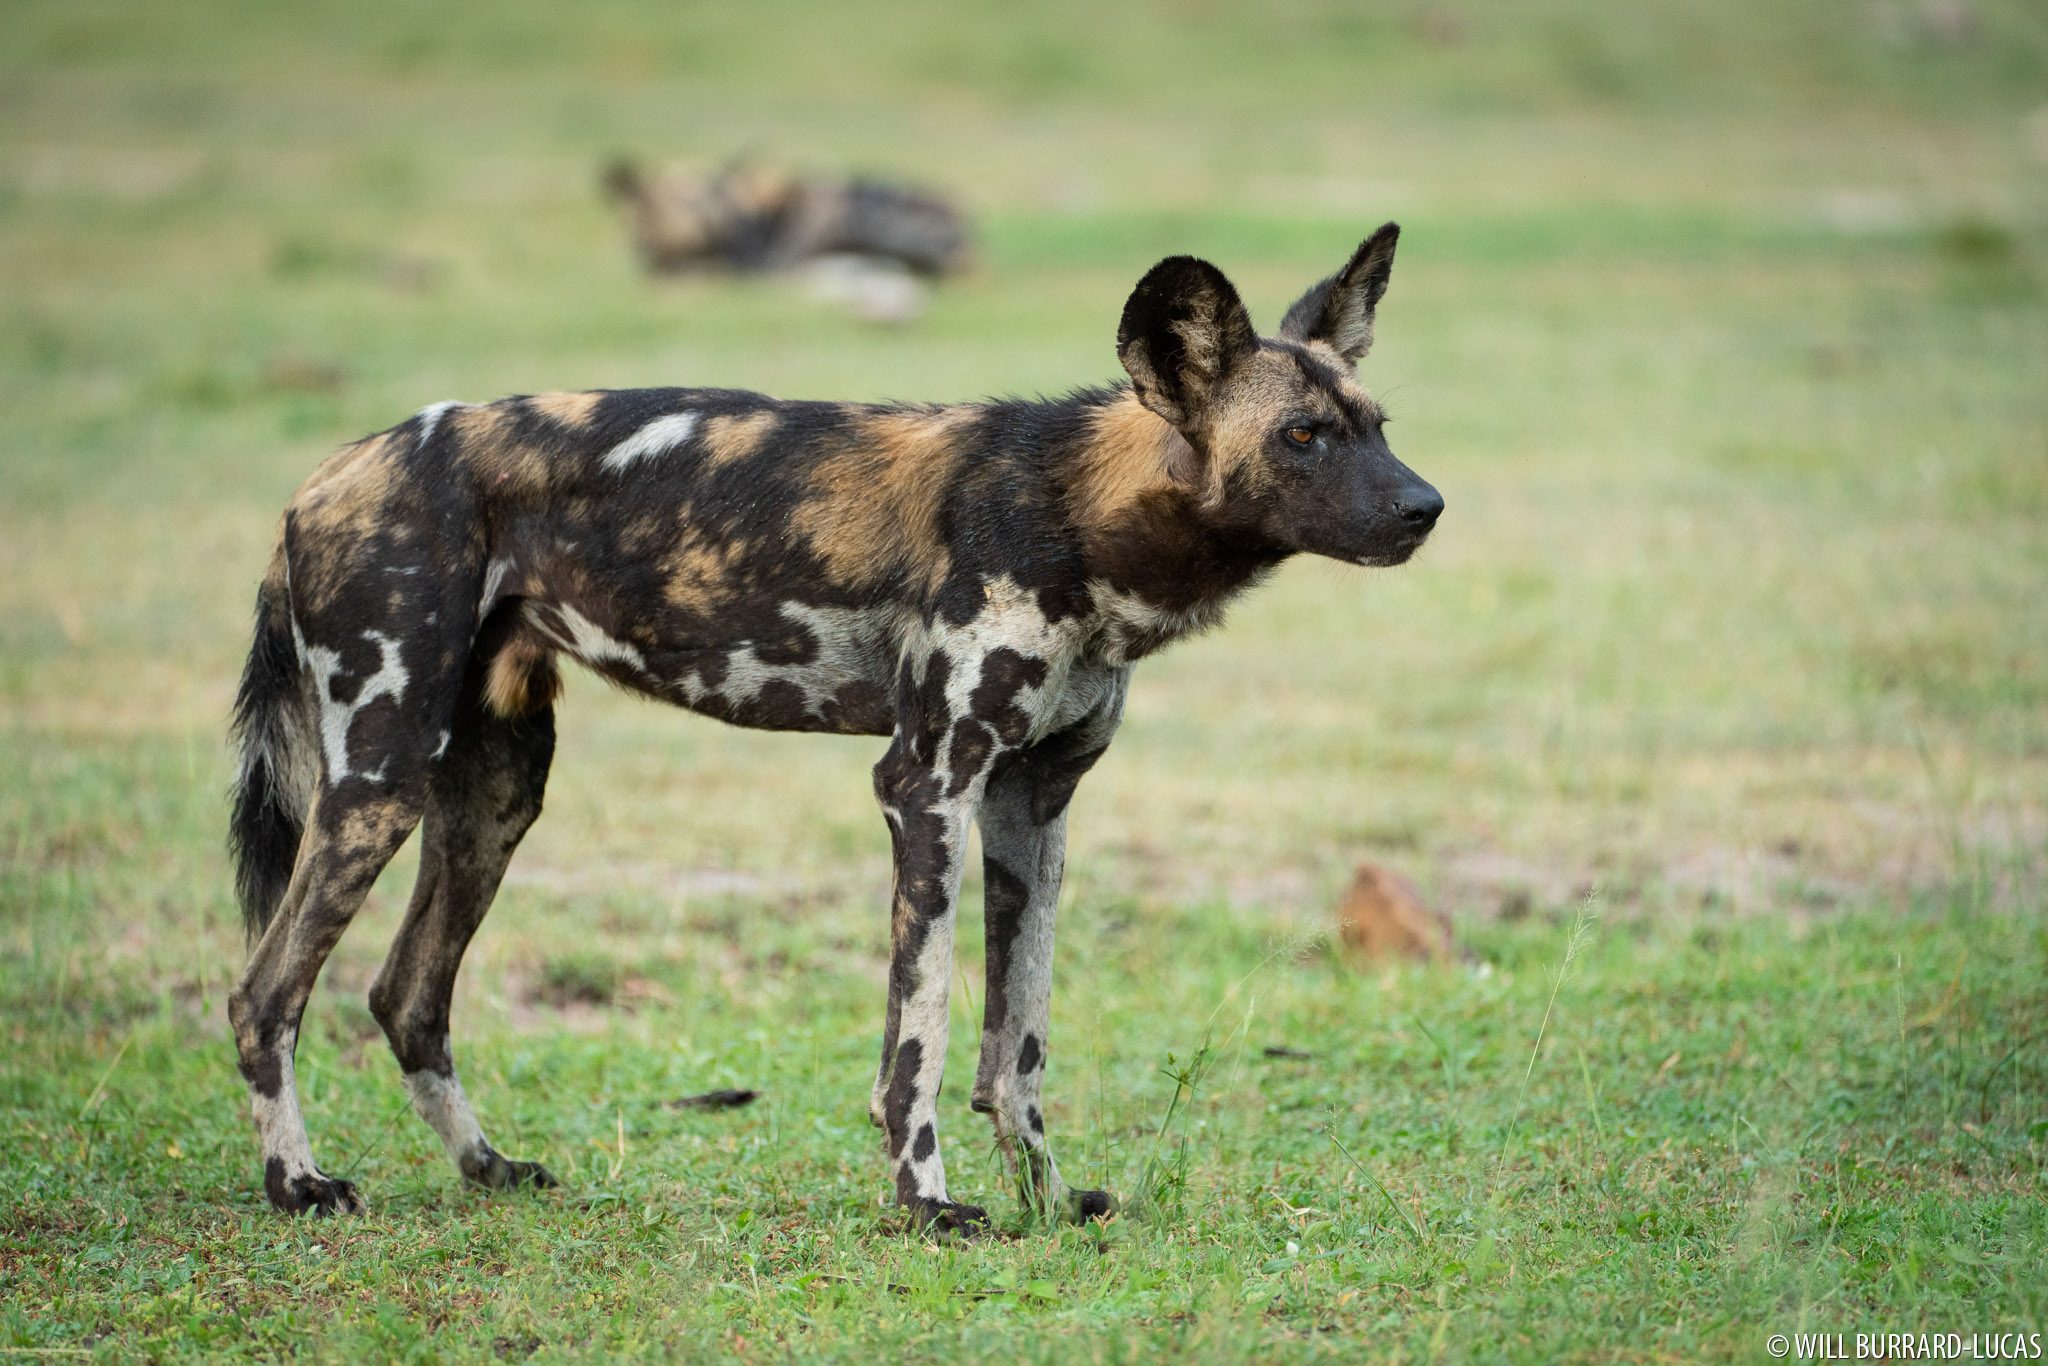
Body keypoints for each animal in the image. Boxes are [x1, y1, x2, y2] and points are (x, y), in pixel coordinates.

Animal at [228, 222, 1441, 1228]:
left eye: (1377, 428)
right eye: (1301, 436)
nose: (1425, 507)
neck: (1076, 515)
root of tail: (327, 473)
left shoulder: (1033, 808)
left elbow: (1019, 1046)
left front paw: (1048, 1200)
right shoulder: (928, 789)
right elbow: (922, 1038)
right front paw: (928, 1205)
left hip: (493, 796)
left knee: (406, 997)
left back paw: (486, 1168)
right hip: (376, 783)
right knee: (263, 993)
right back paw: (299, 1185)